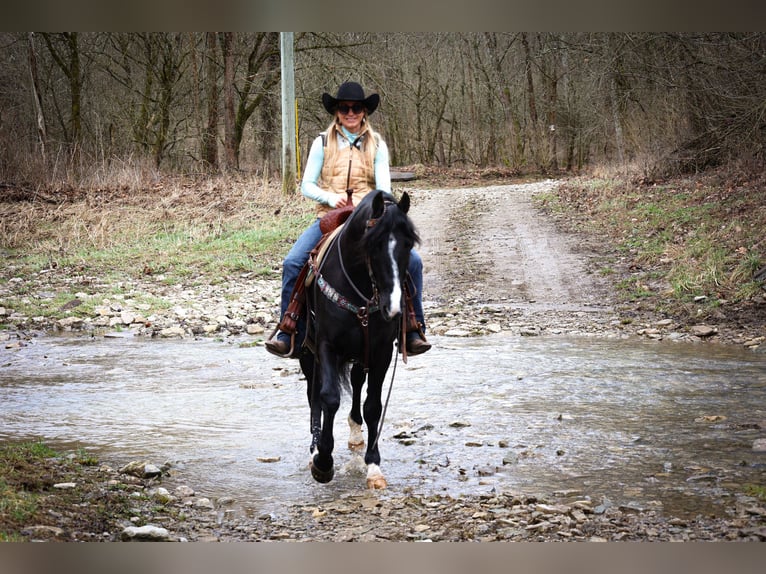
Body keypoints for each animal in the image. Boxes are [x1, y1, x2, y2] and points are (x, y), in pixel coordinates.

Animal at [300, 190, 420, 490]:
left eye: (408, 244)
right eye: (373, 244)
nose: (393, 308)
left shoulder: (380, 352)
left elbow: (373, 406)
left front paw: (373, 465)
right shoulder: (326, 346)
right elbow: (329, 398)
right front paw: (323, 462)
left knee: (356, 382)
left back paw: (355, 433)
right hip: (308, 354)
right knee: (313, 394)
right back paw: (314, 447)